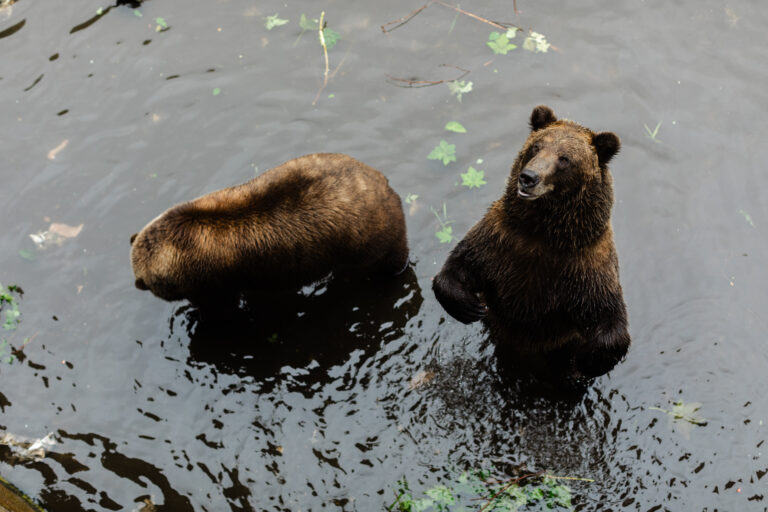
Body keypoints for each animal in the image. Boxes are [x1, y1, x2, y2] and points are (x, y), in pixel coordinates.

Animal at [432, 105, 629, 379]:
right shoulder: (498, 240)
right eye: (536, 147)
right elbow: (459, 264)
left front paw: (587, 360)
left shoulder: (587, 268)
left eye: (565, 158)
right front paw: (469, 306)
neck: (543, 234)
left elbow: (609, 318)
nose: (528, 177)